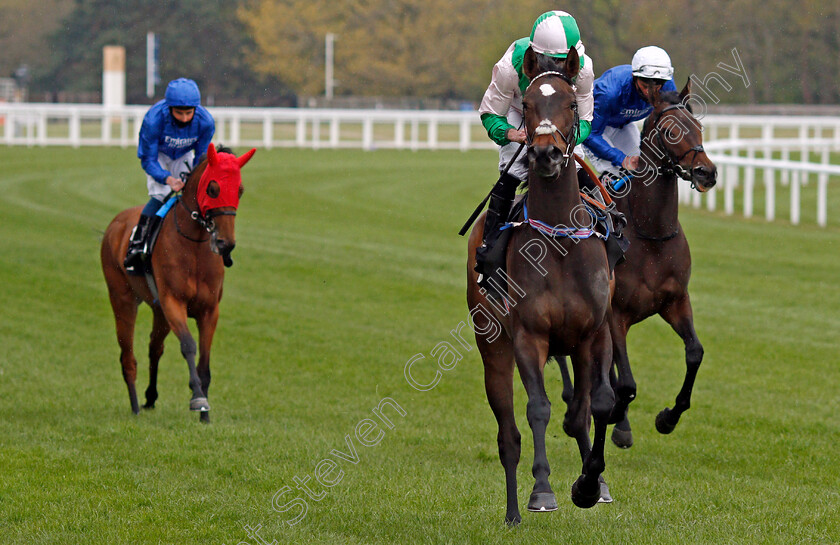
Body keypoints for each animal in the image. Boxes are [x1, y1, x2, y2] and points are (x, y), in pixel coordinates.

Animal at [101, 141, 256, 420]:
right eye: (213, 188)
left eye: (240, 190)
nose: (225, 244)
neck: (194, 246)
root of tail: (115, 224)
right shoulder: (174, 302)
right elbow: (188, 345)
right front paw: (198, 399)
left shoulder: (209, 310)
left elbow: (204, 361)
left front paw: (205, 414)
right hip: (122, 299)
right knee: (127, 356)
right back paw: (134, 407)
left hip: (158, 311)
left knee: (154, 347)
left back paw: (149, 398)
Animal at [466, 45, 612, 524]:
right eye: (528, 105)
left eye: (569, 103)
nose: (545, 154)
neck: (559, 243)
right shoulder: (529, 336)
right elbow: (539, 409)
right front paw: (543, 490)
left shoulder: (594, 334)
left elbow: (596, 406)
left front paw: (590, 484)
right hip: (492, 346)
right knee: (508, 435)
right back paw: (513, 512)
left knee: (580, 413)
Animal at [604, 81, 716, 446]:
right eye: (669, 131)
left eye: (699, 127)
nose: (706, 172)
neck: (650, 233)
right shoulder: (615, 314)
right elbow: (625, 382)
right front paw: (618, 419)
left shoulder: (676, 300)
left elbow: (695, 352)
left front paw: (668, 417)